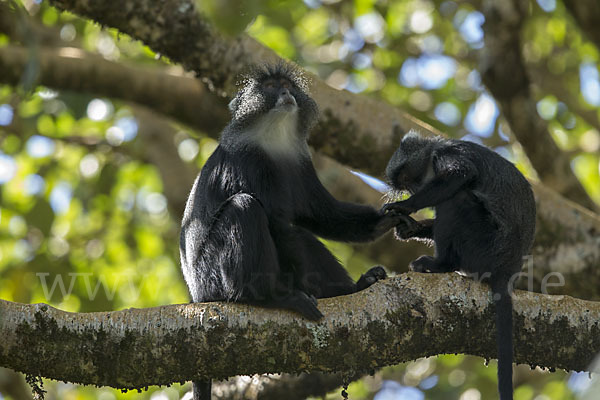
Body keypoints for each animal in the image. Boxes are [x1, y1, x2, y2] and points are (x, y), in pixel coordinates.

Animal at [179, 64, 412, 398]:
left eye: (288, 85)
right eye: (271, 86)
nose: (285, 93)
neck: (272, 138)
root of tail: (197, 296)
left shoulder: (300, 163)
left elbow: (322, 215)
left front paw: (384, 223)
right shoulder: (248, 161)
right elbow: (280, 225)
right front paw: (338, 291)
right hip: (212, 276)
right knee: (244, 207)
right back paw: (267, 297)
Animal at [382, 131, 536, 400]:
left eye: (406, 179)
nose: (414, 190)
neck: (433, 152)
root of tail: (507, 268)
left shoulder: (450, 154)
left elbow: (461, 174)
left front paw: (404, 206)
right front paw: (408, 227)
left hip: (482, 246)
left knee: (456, 198)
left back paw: (440, 264)